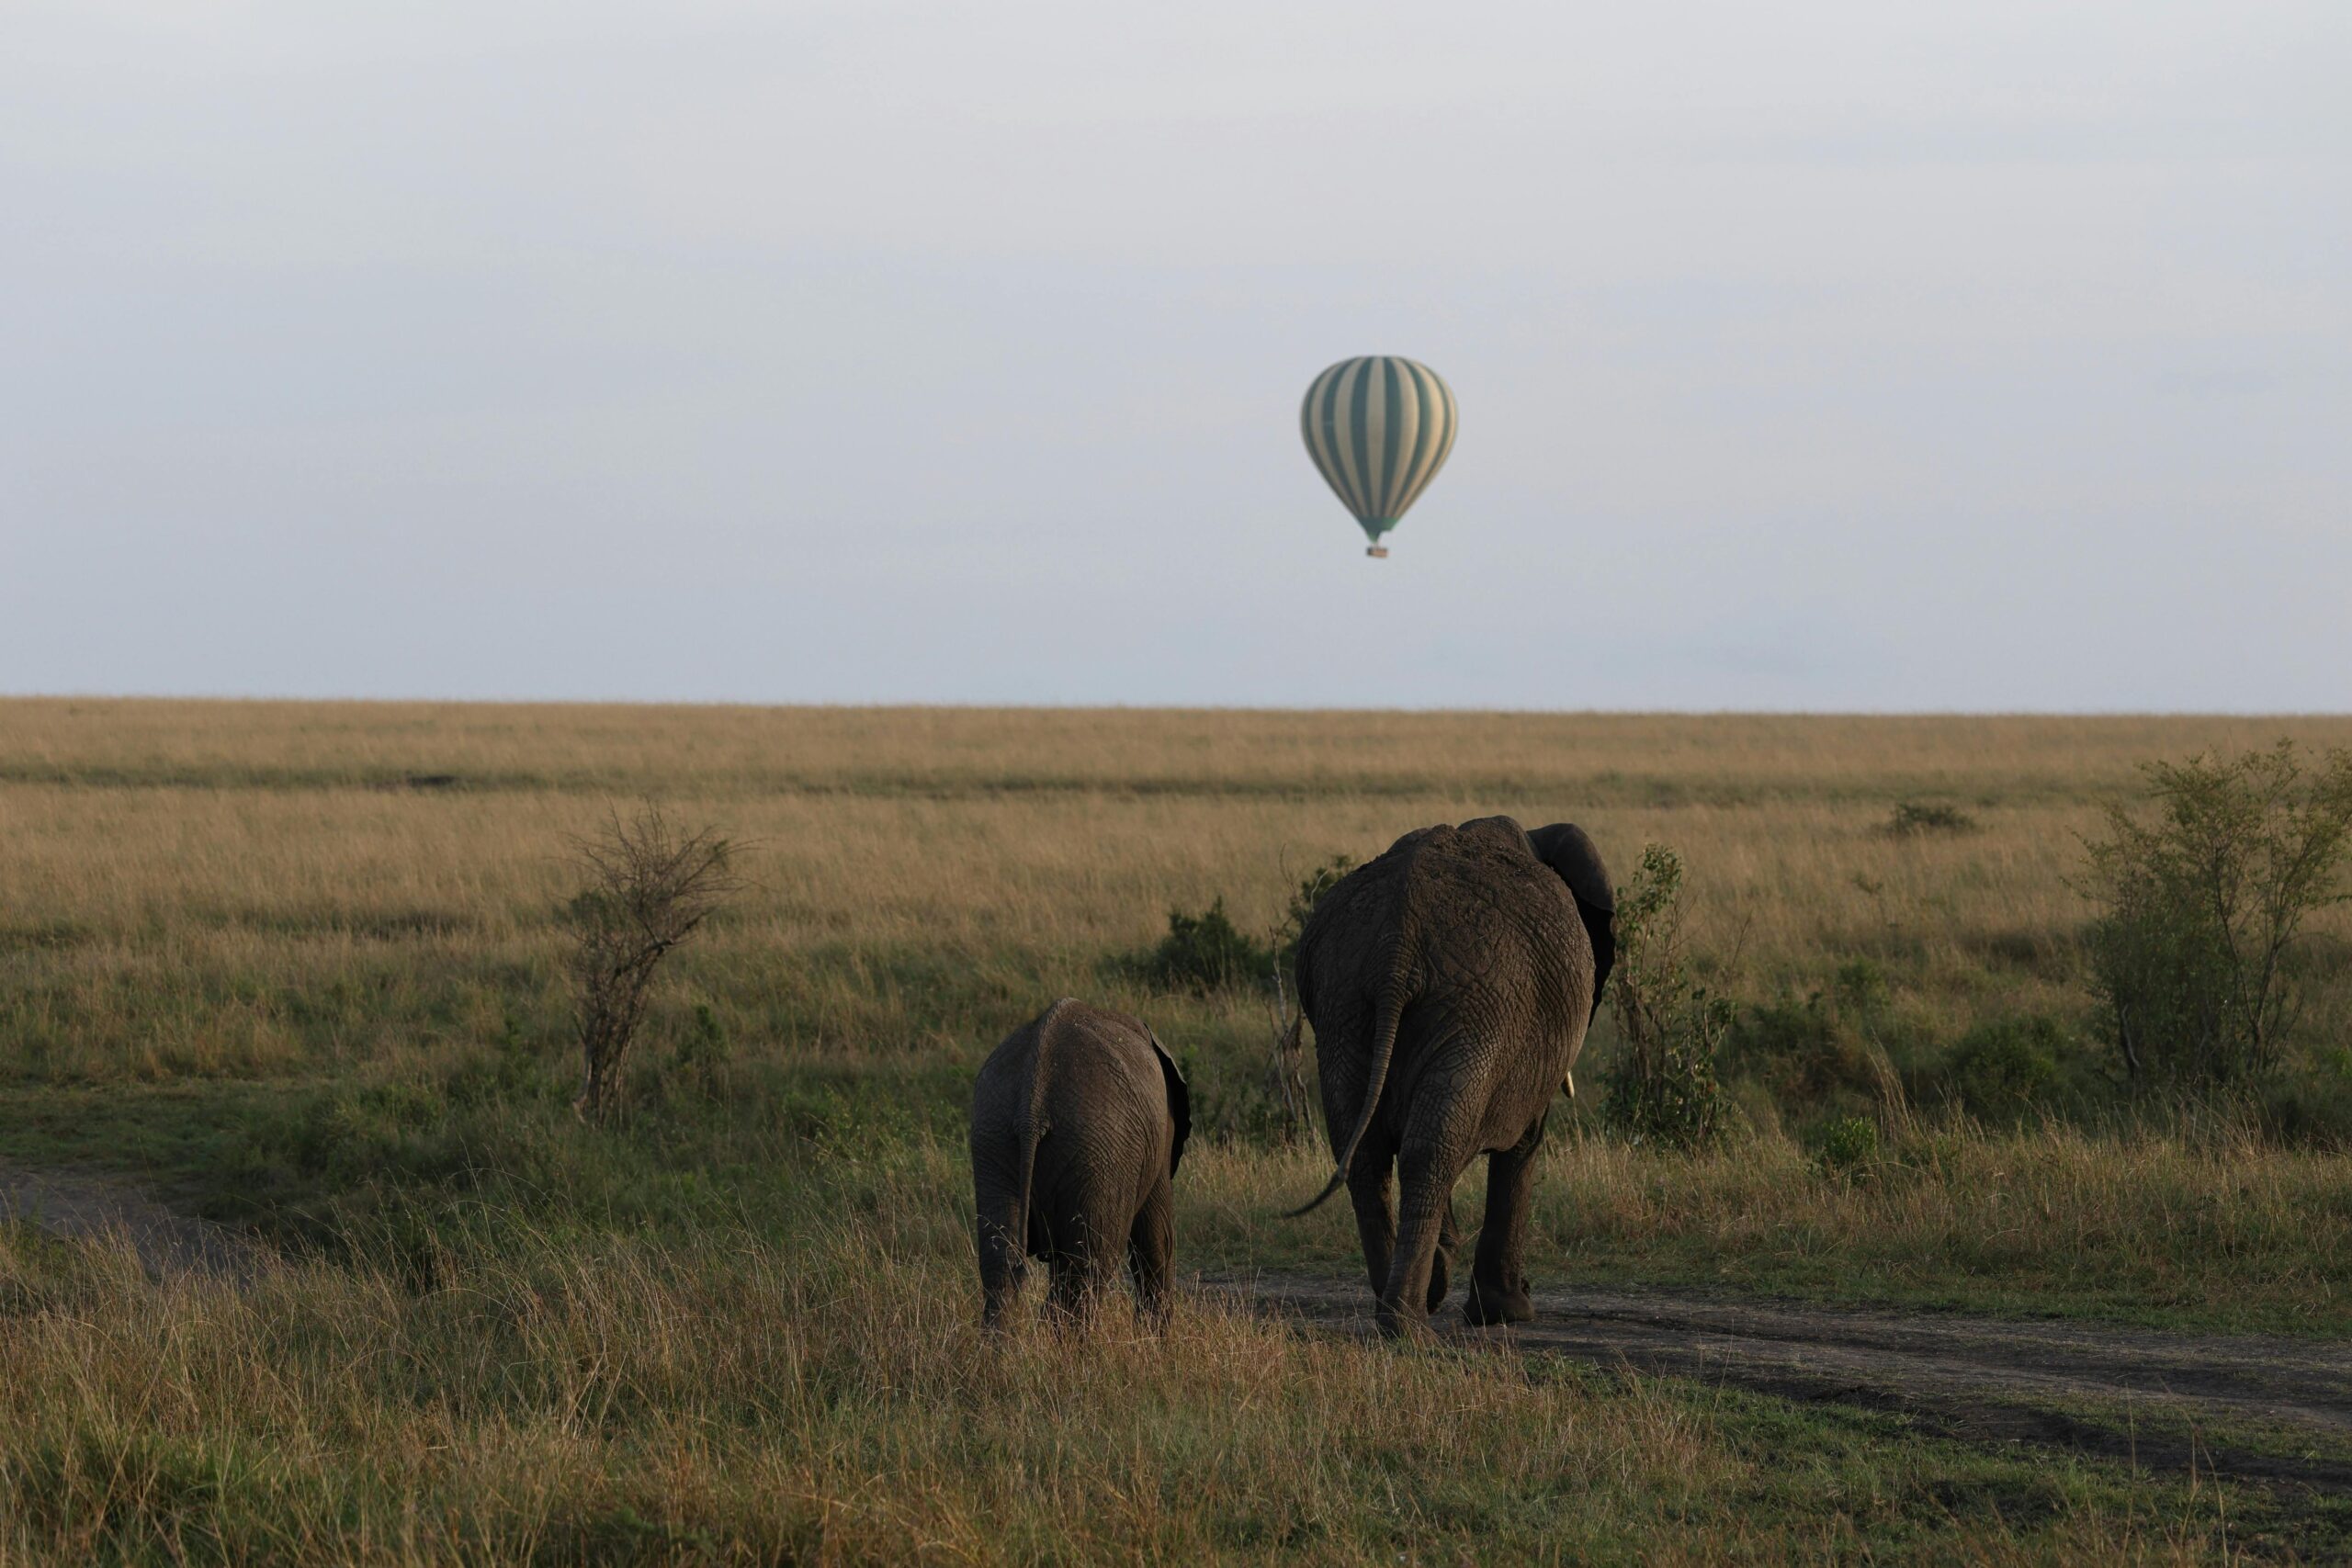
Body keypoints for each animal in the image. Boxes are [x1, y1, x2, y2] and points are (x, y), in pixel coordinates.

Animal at [973, 1006, 1194, 1325]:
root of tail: (1031, 1106)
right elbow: (1157, 1239)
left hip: (994, 1134)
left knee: (1002, 1265)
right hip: (1099, 1149)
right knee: (1089, 1266)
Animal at [1298, 822, 1609, 1335]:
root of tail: (1397, 944)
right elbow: (1524, 1142)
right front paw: (1508, 1313)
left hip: (1344, 1004)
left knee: (1374, 1151)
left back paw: (1407, 1304)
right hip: (1477, 1008)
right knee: (1433, 1150)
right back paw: (1410, 1321)